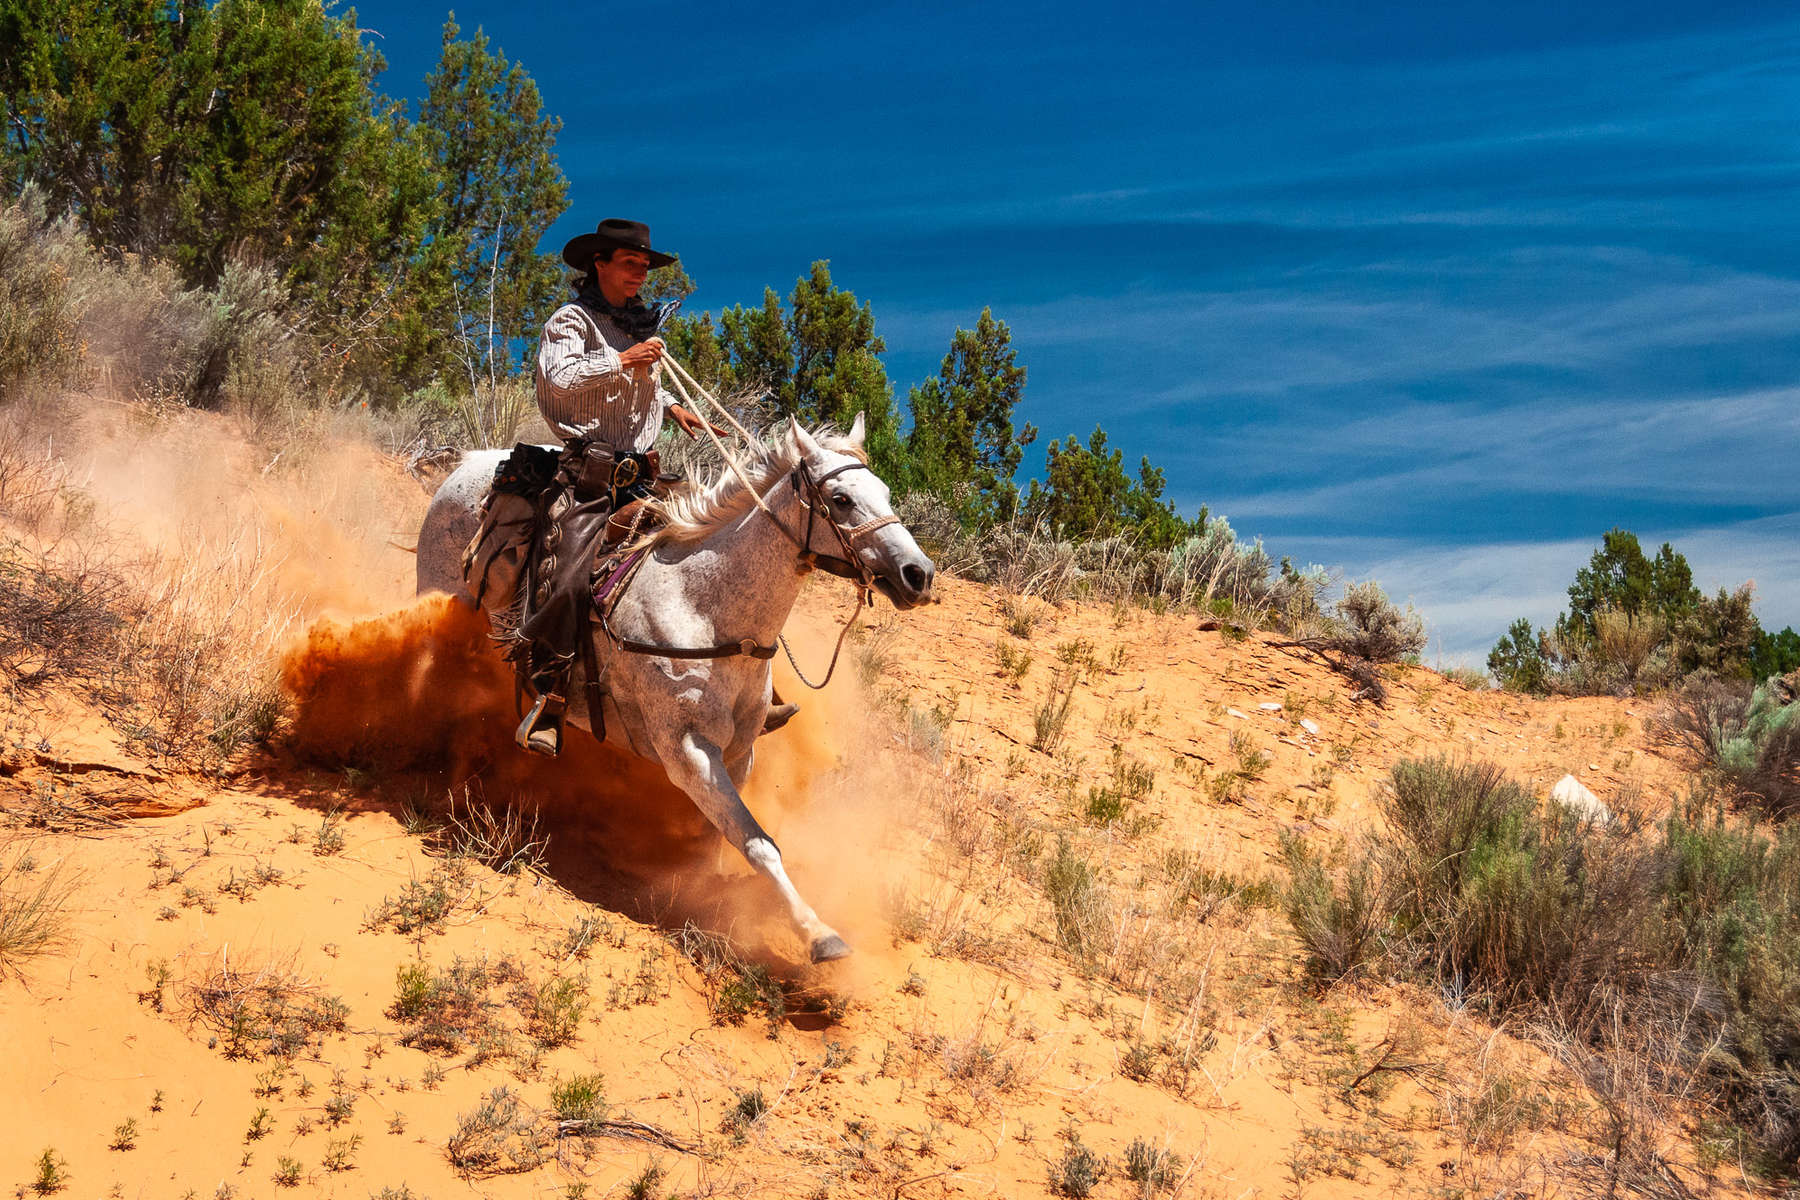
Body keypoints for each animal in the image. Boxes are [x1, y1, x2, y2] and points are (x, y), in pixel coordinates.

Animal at [412, 417, 936, 964]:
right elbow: (759, 844)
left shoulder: (739, 753)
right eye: (840, 498)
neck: (703, 606)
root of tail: (464, 464)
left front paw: (704, 890)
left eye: (885, 492)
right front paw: (818, 933)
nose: (918, 574)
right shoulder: (687, 752)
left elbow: (724, 835)